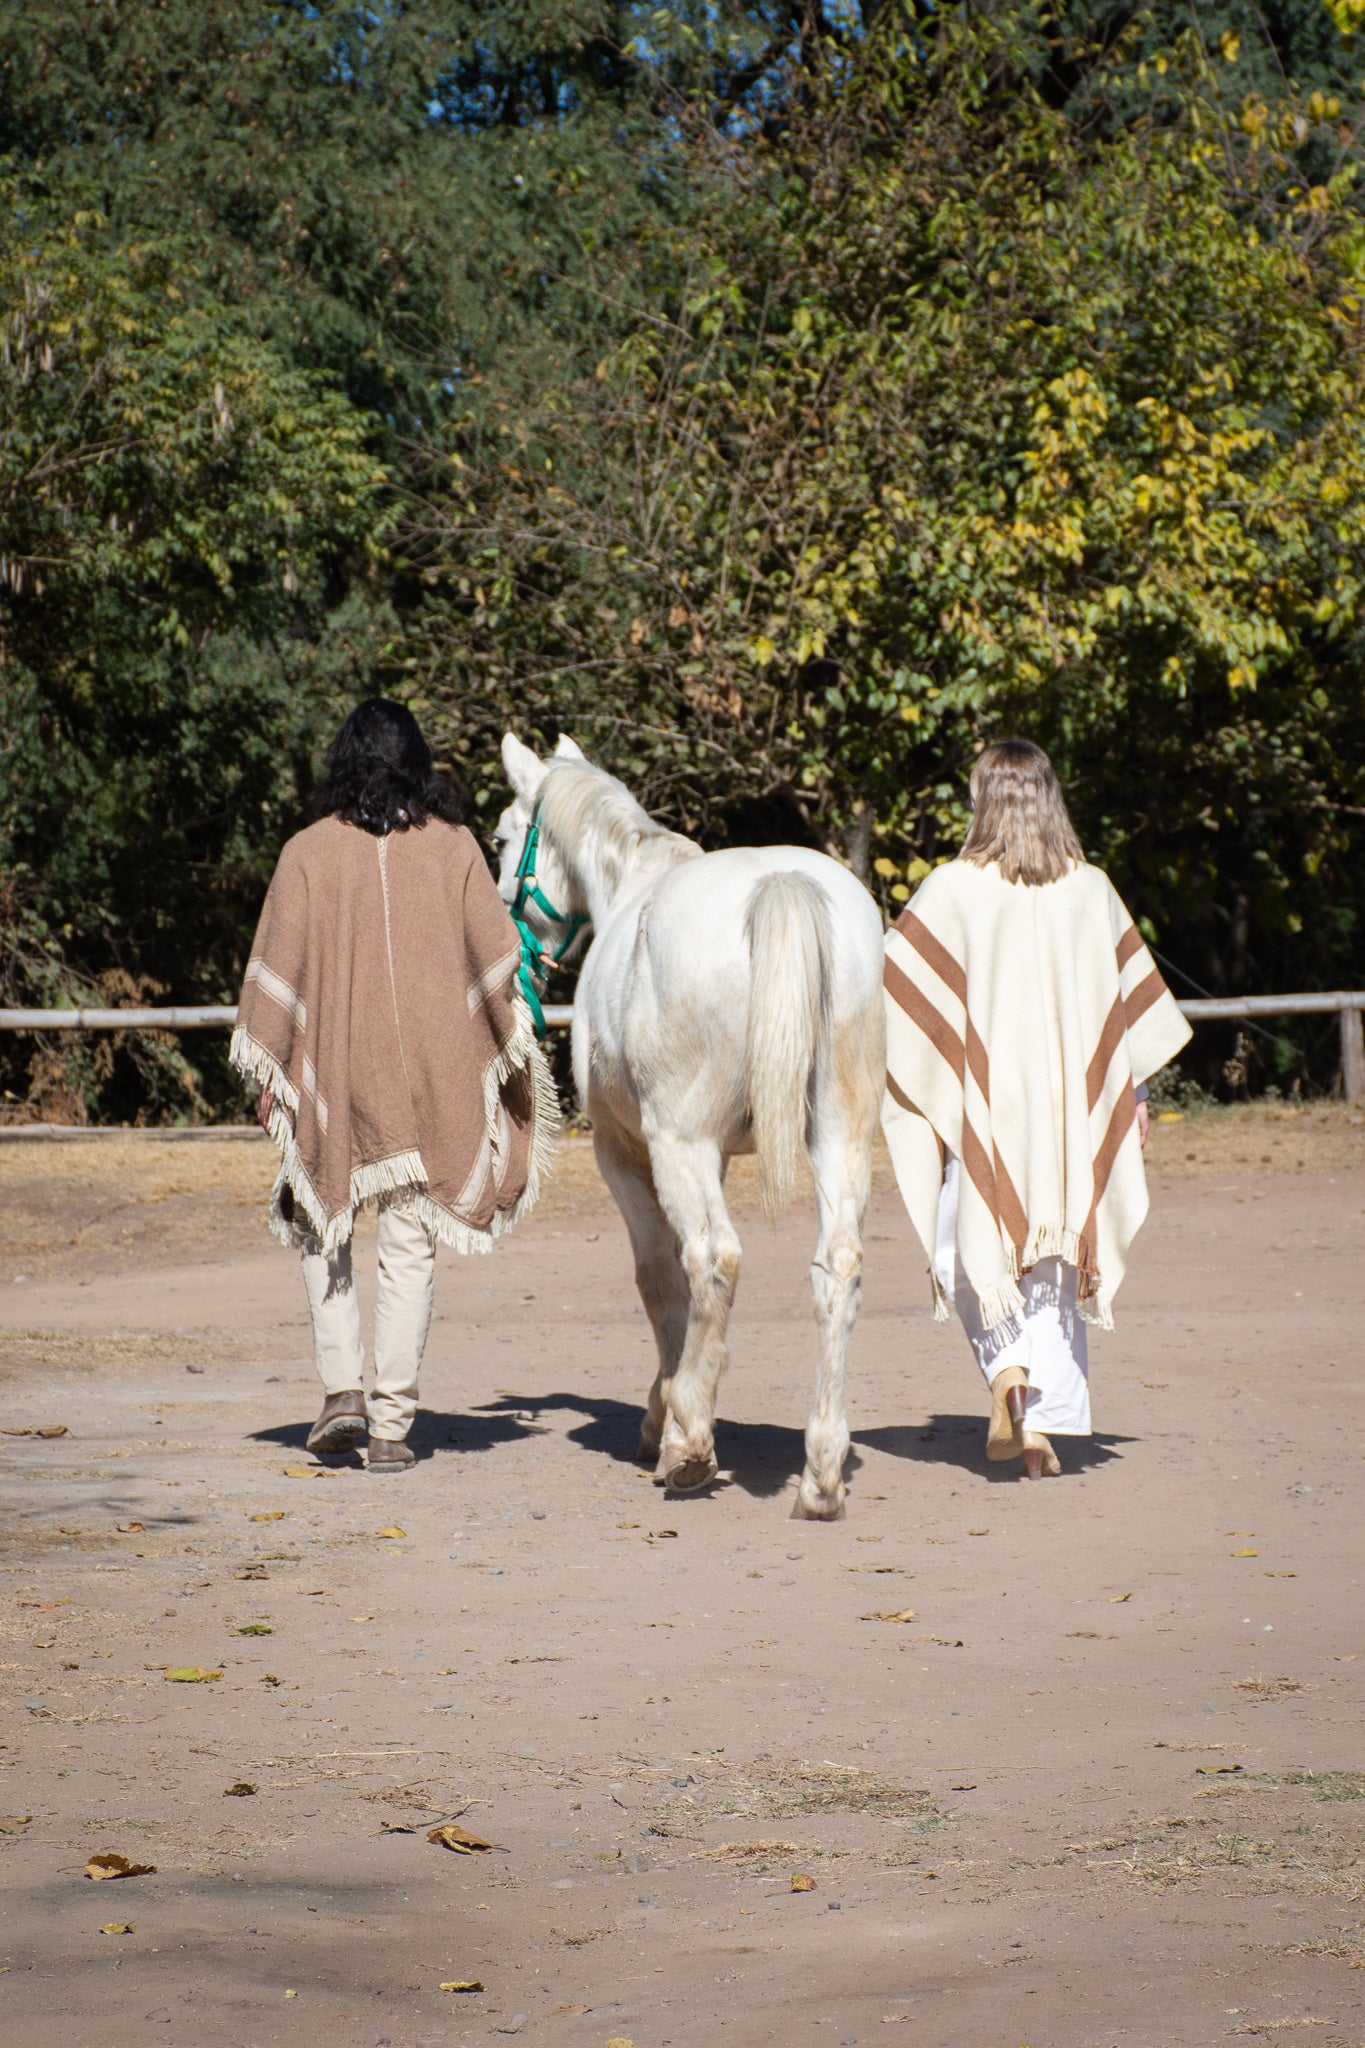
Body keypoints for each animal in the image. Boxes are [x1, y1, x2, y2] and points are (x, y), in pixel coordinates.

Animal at [493, 737, 888, 1523]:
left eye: (503, 837)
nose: (508, 938)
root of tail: (782, 885)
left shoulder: (627, 1151)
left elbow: (660, 1276)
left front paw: (666, 1415)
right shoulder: (720, 1155)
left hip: (682, 1146)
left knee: (714, 1258)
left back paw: (691, 1447)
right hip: (840, 1138)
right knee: (838, 1268)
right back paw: (821, 1474)